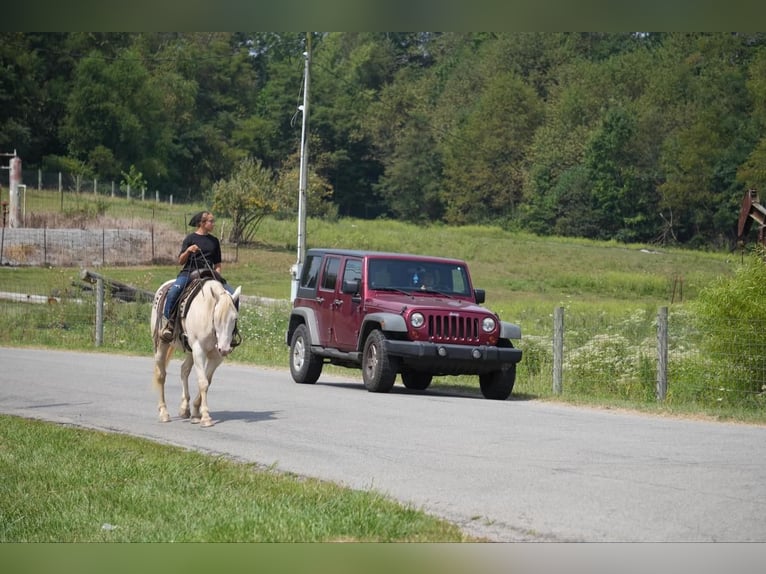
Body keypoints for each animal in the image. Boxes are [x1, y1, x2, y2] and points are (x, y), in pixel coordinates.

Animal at [152, 276, 242, 430]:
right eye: (216, 318)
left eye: (234, 318)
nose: (225, 348)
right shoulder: (199, 350)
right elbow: (203, 382)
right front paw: (205, 417)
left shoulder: (216, 356)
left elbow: (207, 381)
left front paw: (195, 413)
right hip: (161, 344)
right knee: (161, 375)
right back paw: (164, 413)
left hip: (190, 350)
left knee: (184, 370)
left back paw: (184, 409)